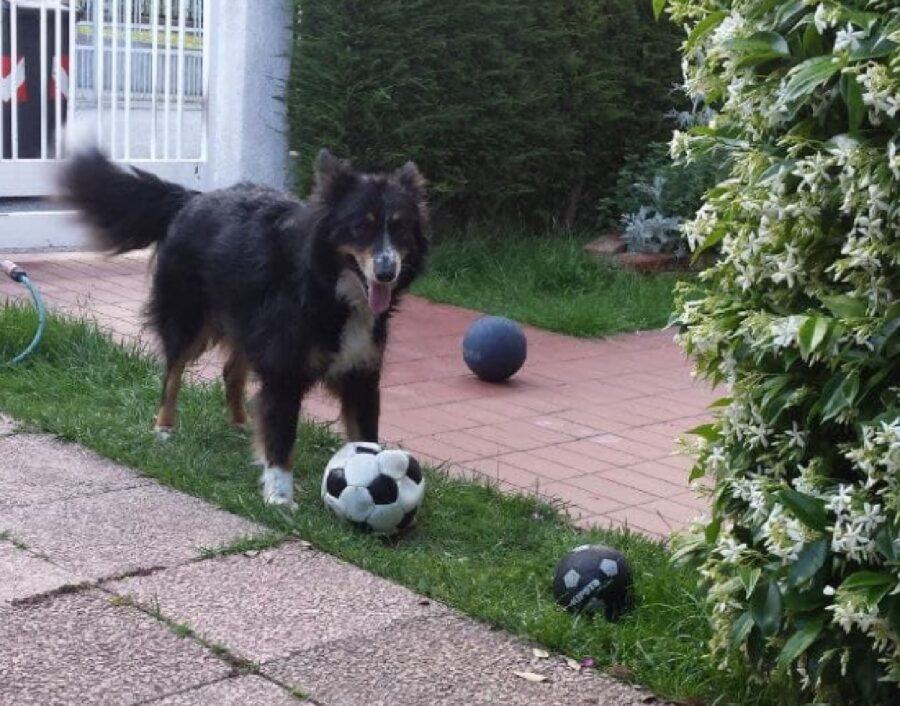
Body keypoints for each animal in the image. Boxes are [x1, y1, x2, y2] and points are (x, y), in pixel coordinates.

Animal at [59, 146, 428, 506]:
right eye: (360, 227)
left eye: (401, 228)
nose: (386, 272)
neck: (325, 286)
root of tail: (191, 197)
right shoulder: (284, 372)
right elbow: (282, 437)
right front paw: (279, 497)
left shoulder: (361, 373)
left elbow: (365, 437)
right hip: (189, 318)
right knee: (172, 372)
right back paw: (164, 427)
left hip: (247, 325)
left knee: (230, 372)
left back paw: (240, 423)